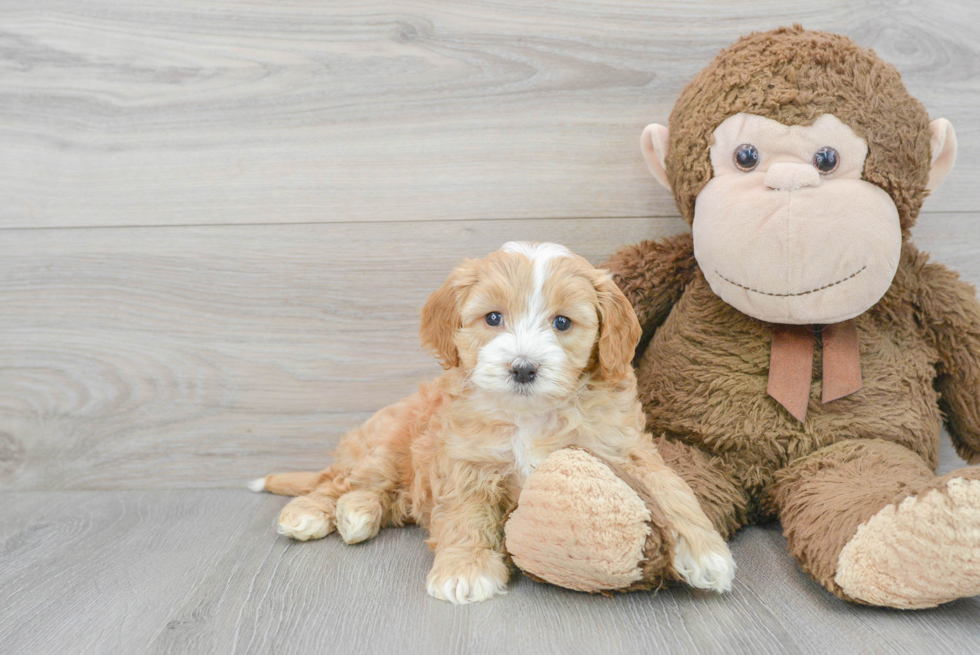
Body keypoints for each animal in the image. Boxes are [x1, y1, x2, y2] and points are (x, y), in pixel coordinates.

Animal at [249, 242, 732, 604]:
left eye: (562, 322)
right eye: (493, 318)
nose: (523, 368)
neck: (529, 413)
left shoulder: (624, 446)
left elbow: (673, 489)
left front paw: (706, 553)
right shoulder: (466, 462)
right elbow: (466, 516)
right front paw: (465, 571)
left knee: (385, 497)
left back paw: (359, 514)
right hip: (385, 444)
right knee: (339, 481)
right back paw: (312, 512)